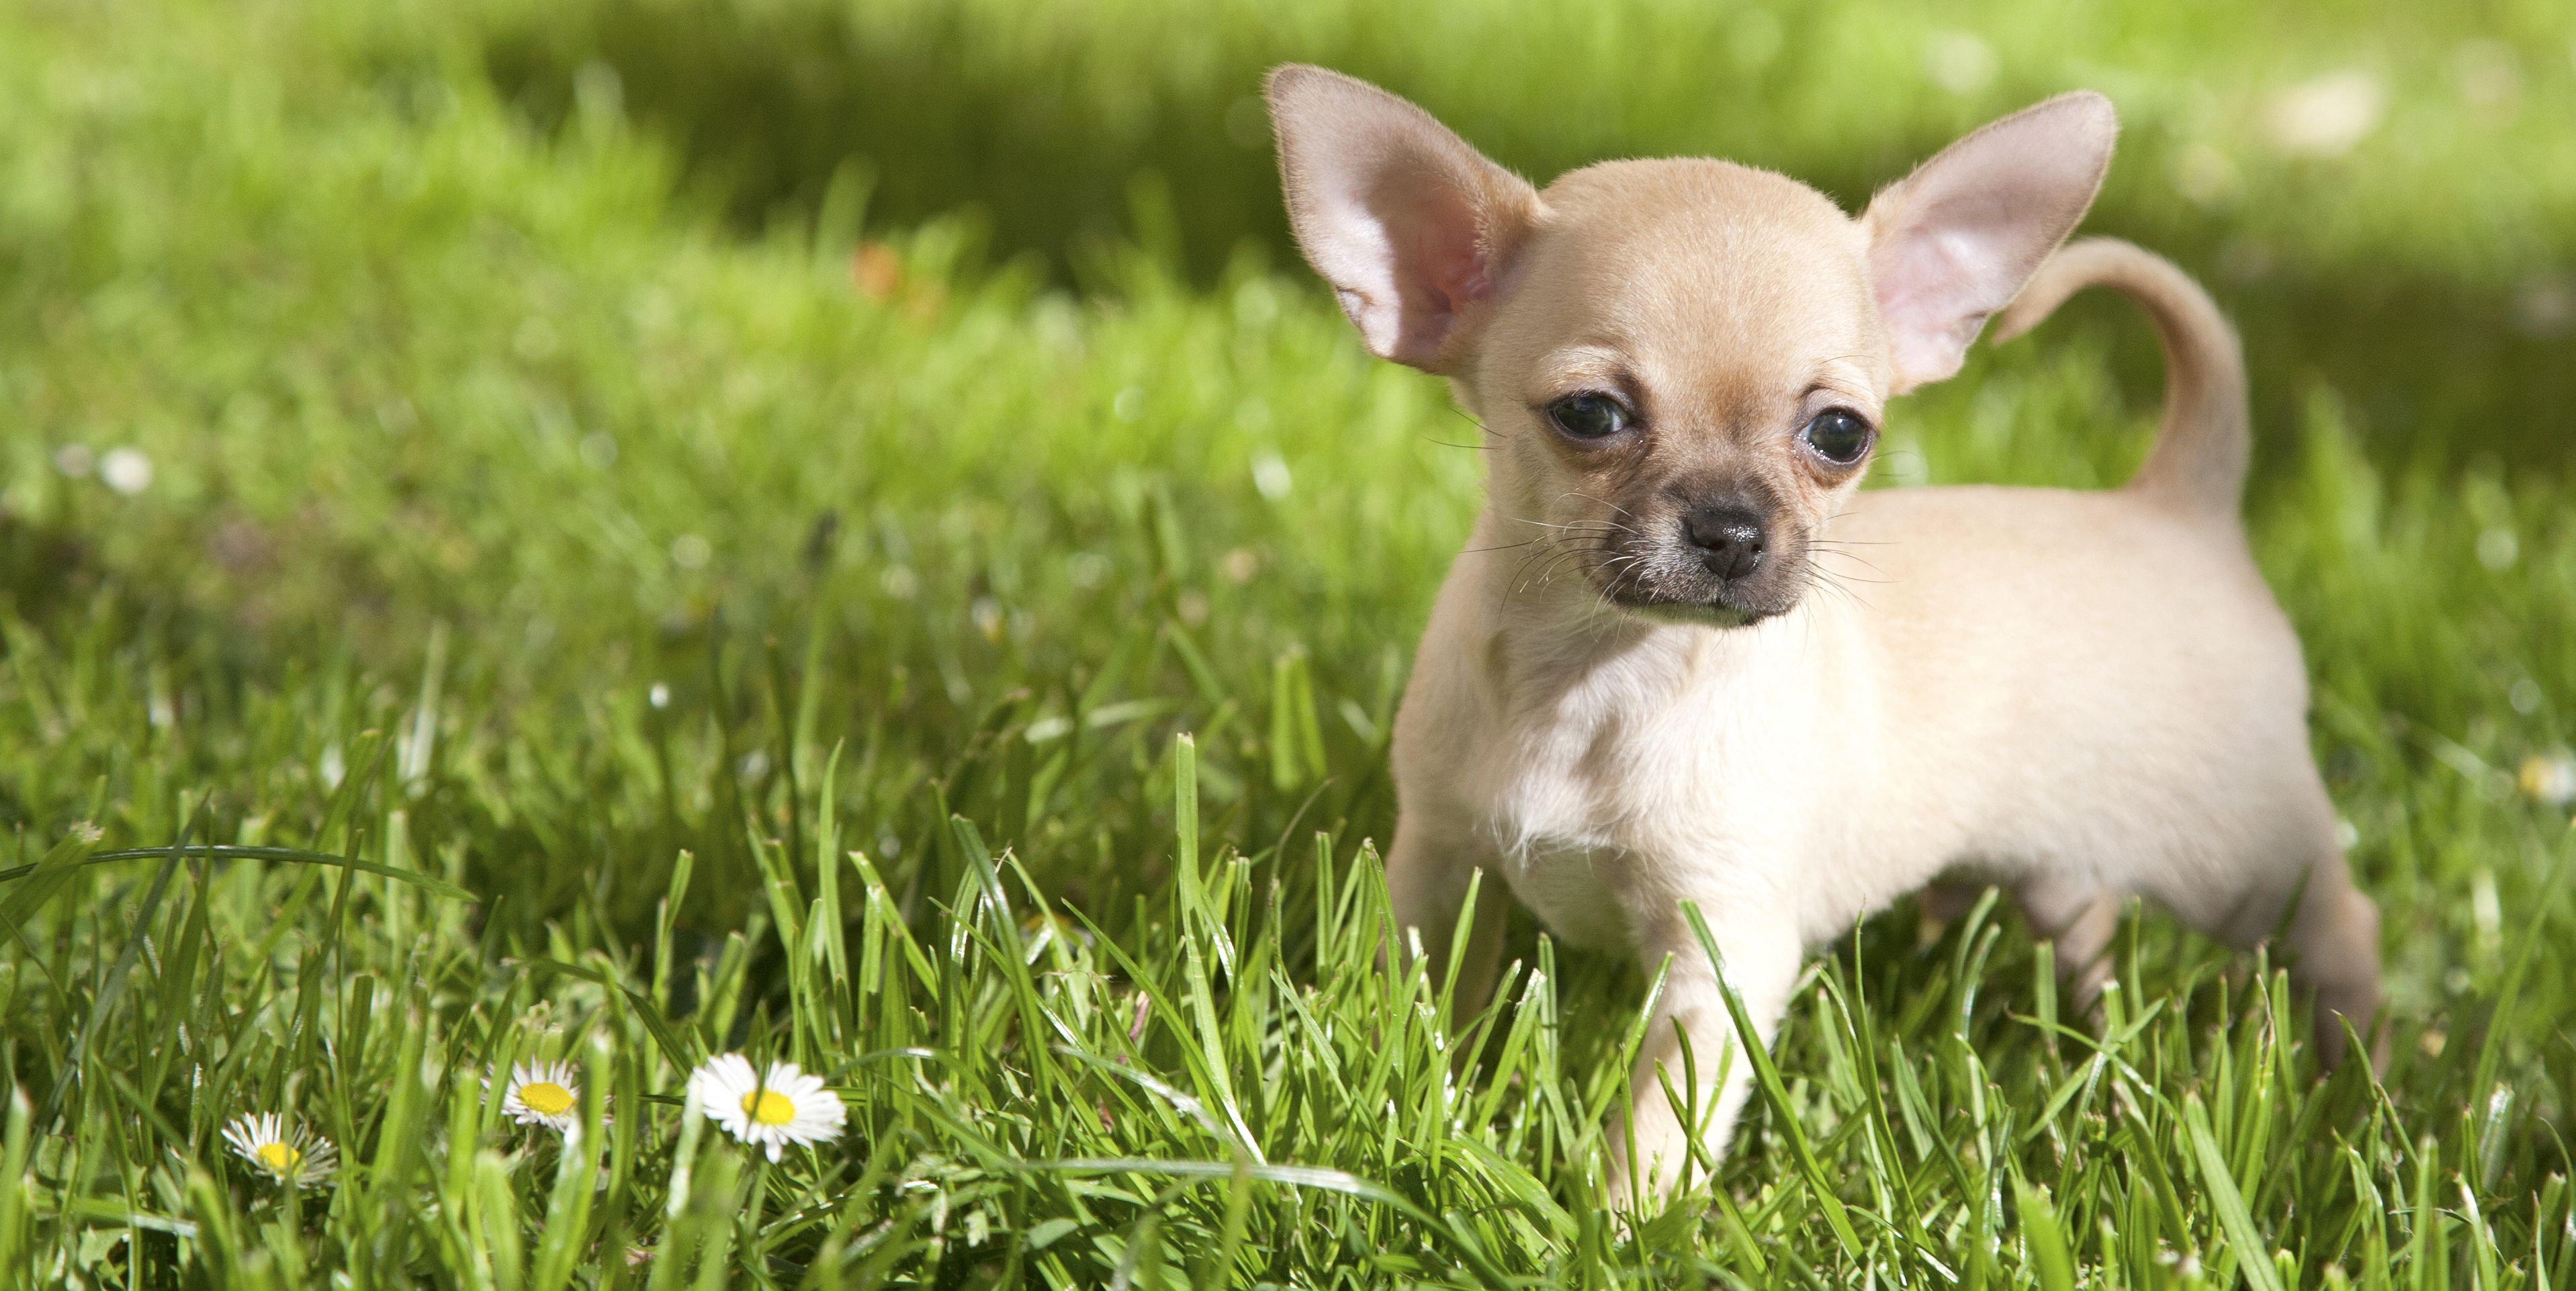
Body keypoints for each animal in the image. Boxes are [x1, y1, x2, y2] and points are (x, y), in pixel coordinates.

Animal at [1267, 65, 2390, 1200]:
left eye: (1839, 435)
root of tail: (2179, 504)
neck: (1596, 674)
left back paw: (2358, 1085)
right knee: (2085, 921)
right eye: (1588, 414)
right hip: (2066, 855)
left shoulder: (1719, 957)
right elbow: (1421, 1004)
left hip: (2237, 861)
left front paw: (1623, 1219)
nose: (1728, 529)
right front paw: (1410, 1100)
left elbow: (1659, 1126)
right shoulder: (1439, 865)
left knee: (2341, 928)